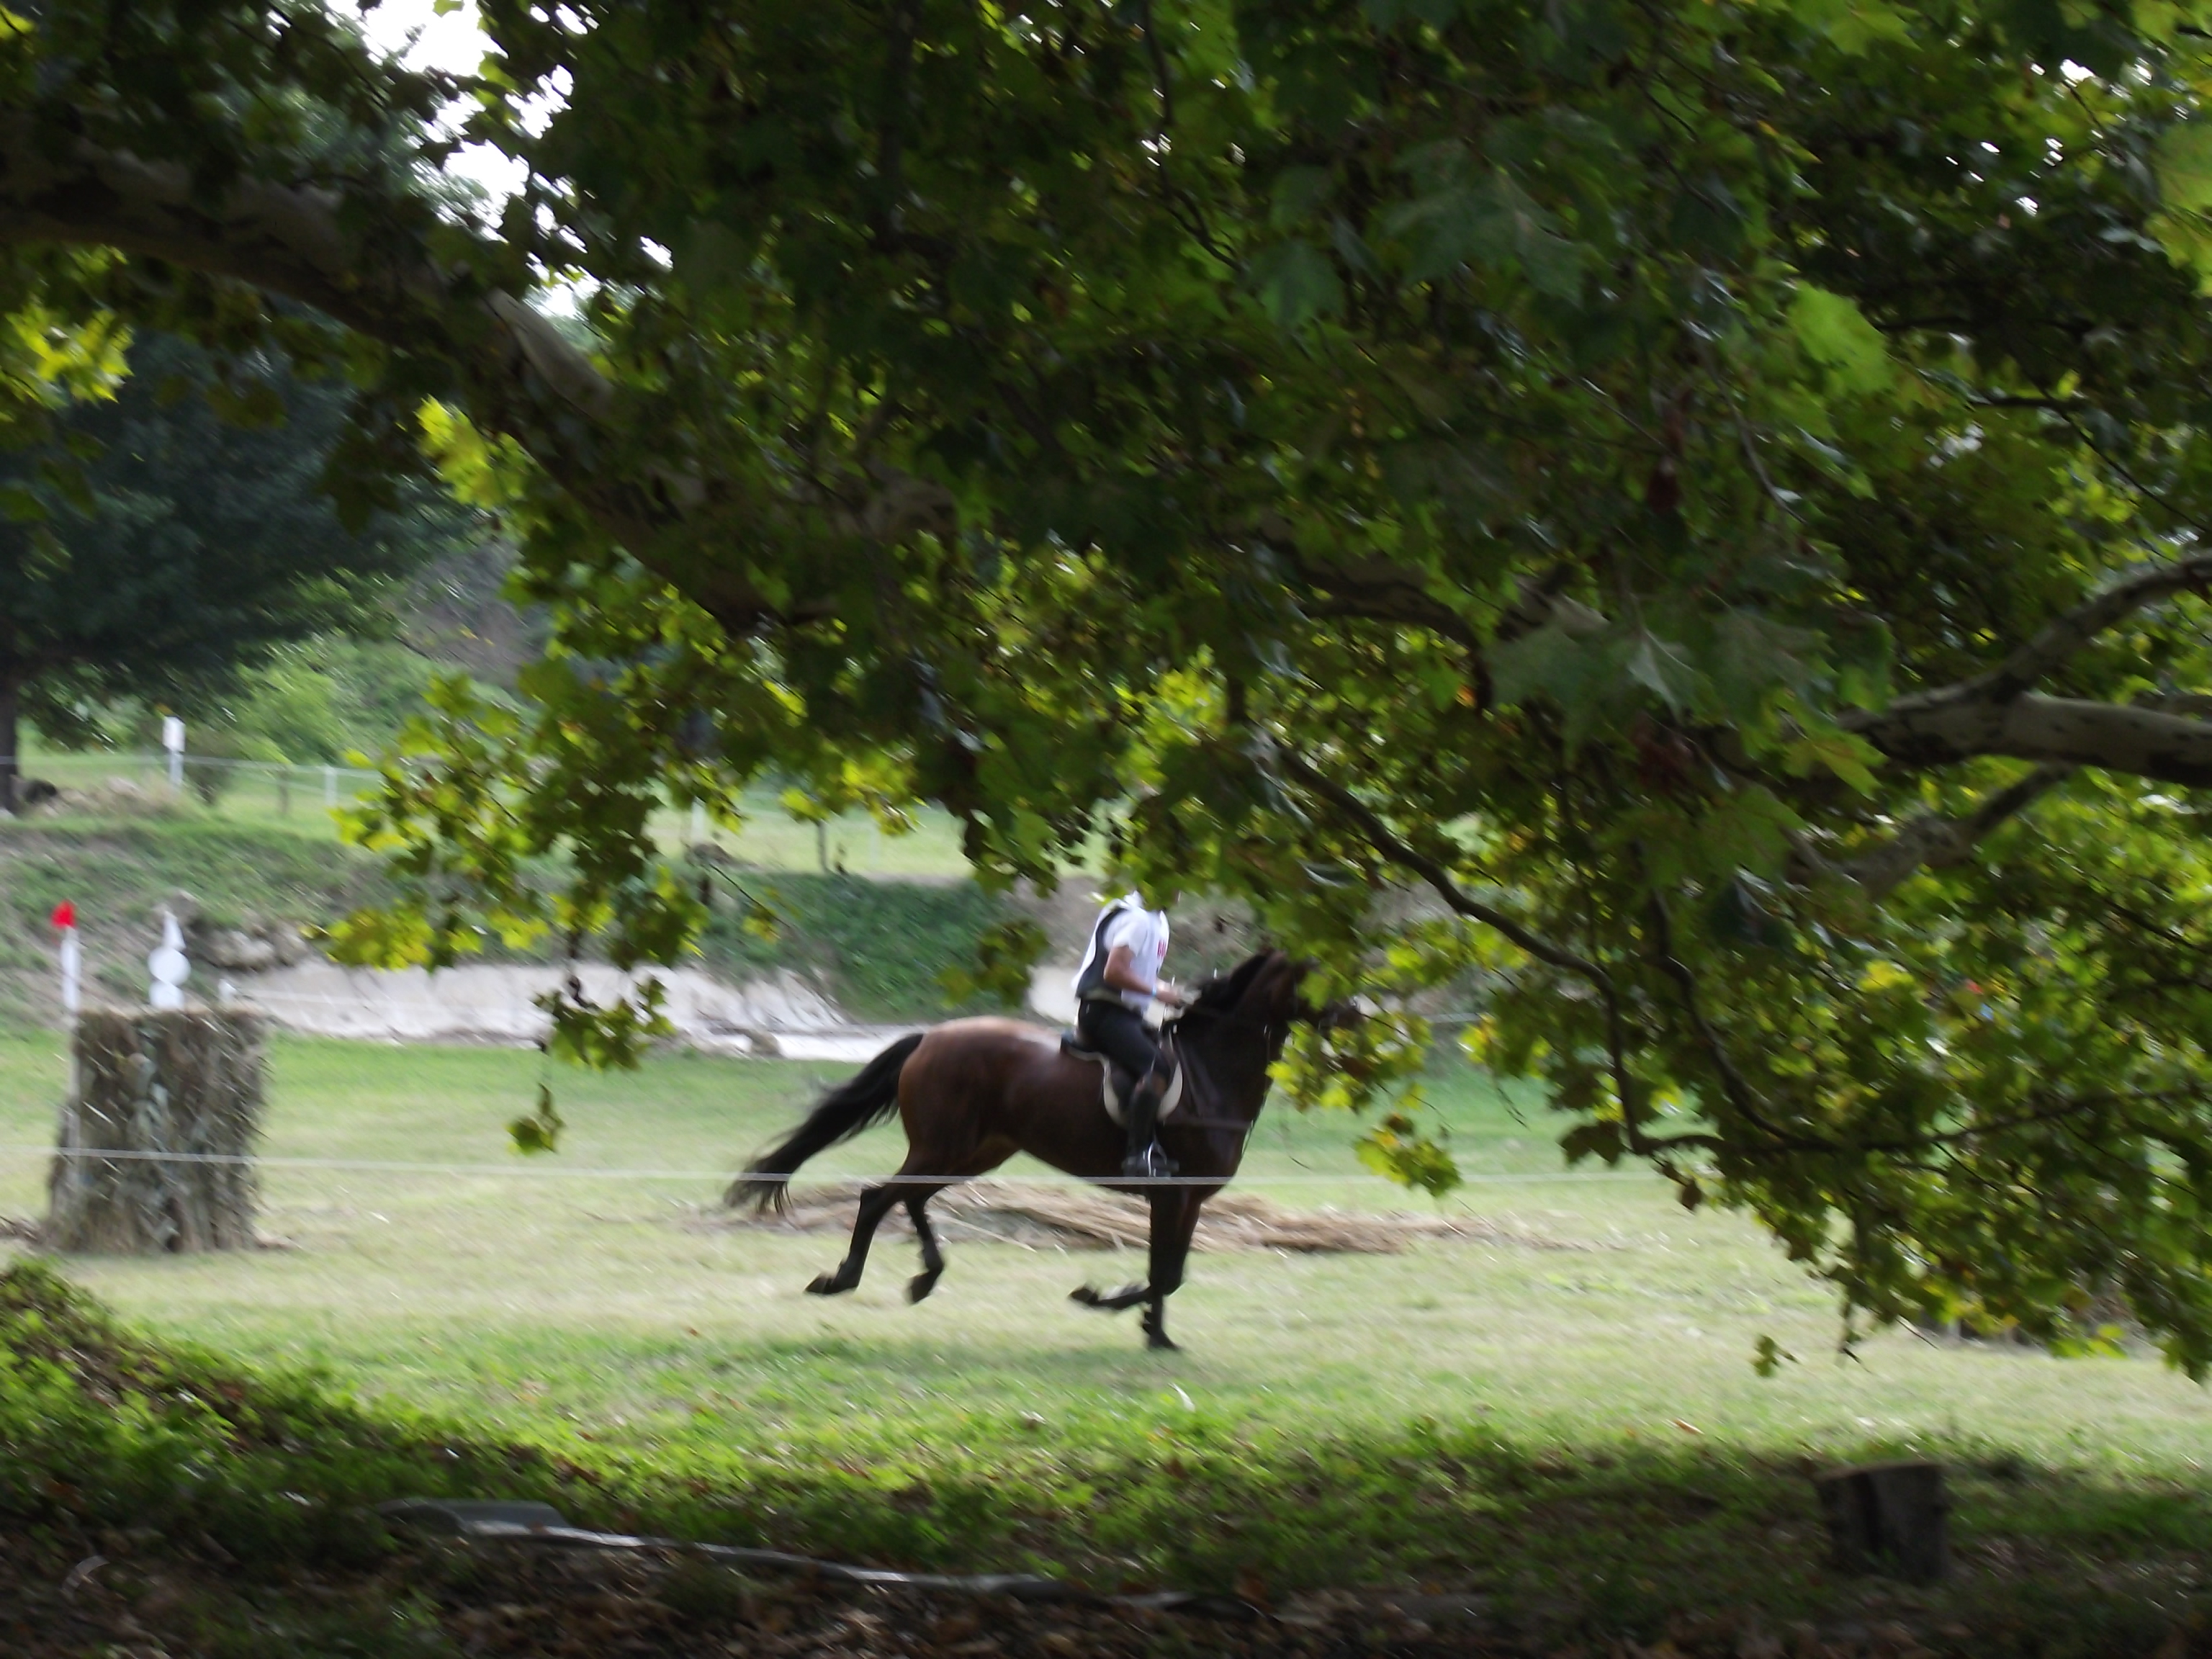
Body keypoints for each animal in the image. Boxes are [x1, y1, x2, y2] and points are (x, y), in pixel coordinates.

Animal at [725, 946, 1309, 1354]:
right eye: (1314, 973)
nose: (1338, 1017)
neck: (1213, 1072)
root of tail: (930, 1038)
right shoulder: (1172, 1195)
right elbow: (1163, 1273)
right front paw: (1098, 1299)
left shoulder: (1188, 1200)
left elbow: (1169, 1271)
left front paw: (1155, 1334)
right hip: (943, 1147)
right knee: (879, 1198)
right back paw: (843, 1280)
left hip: (976, 1153)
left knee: (912, 1198)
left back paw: (925, 1276)